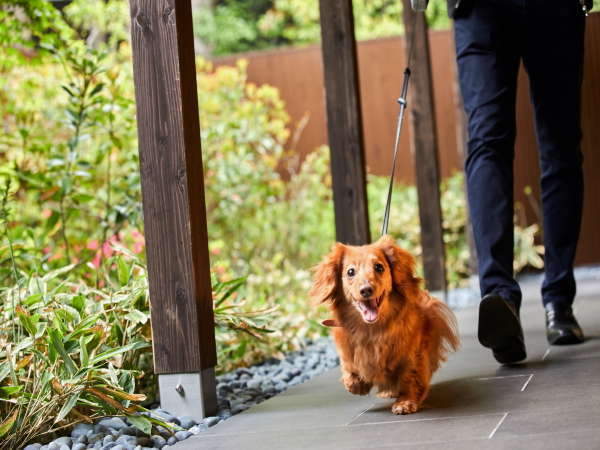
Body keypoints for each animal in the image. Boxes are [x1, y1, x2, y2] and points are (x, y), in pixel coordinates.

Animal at [312, 236, 458, 414]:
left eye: (379, 267)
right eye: (350, 272)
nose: (366, 290)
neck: (372, 330)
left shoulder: (412, 355)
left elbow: (411, 377)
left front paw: (406, 401)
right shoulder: (347, 347)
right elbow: (350, 366)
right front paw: (356, 384)